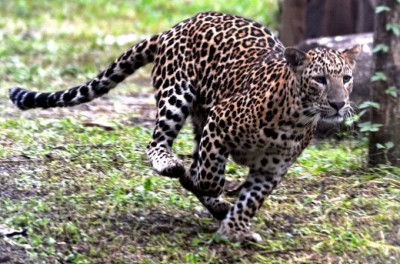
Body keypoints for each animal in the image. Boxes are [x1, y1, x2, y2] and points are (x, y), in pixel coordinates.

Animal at [8, 12, 360, 243]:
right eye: (319, 80)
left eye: (346, 78)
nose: (338, 103)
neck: (296, 118)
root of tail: (174, 28)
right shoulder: (220, 122)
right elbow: (210, 174)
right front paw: (205, 185)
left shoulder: (271, 168)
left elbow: (250, 200)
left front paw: (233, 230)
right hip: (177, 96)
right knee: (158, 144)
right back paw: (173, 167)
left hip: (198, 116)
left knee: (192, 158)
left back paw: (216, 206)